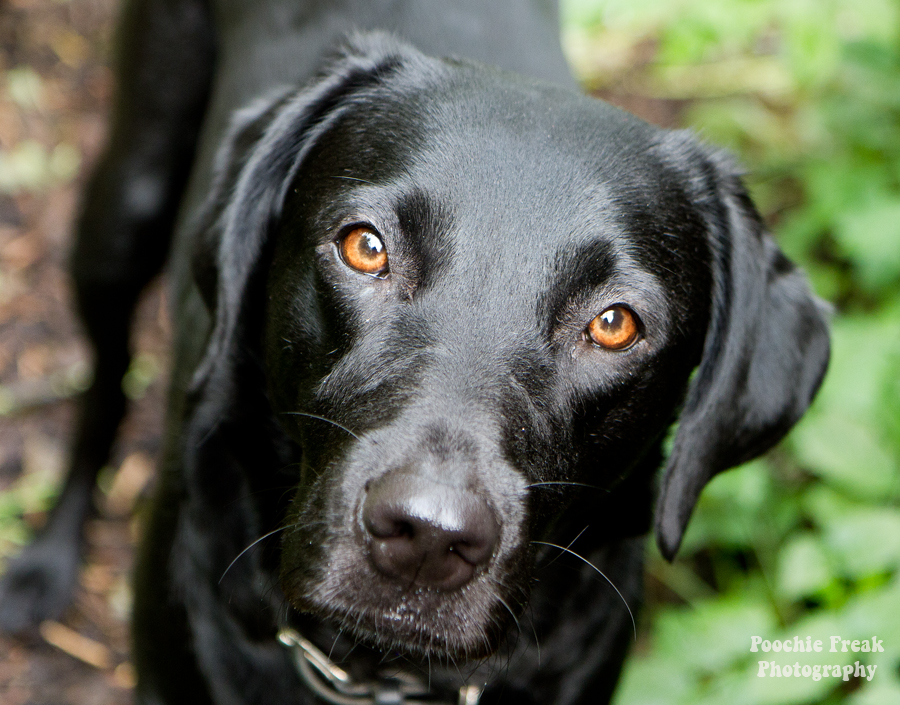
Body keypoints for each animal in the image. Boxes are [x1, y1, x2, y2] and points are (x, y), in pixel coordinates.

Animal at [0, 2, 828, 700]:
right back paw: (45, 562)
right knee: (103, 384)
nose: (427, 536)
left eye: (615, 323)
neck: (378, 673)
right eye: (365, 247)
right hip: (125, 208)